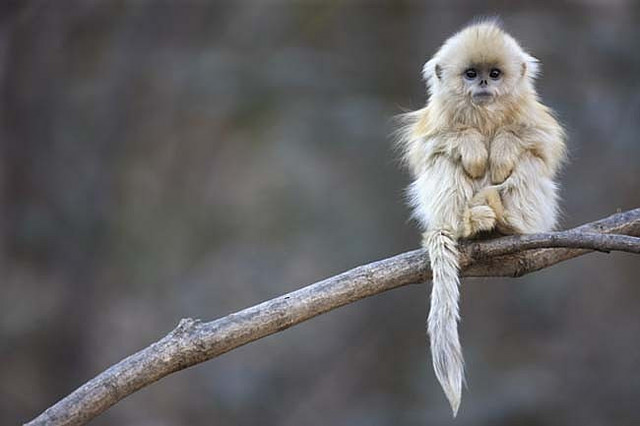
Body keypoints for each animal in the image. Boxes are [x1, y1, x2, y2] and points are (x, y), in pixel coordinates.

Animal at [398, 20, 568, 416]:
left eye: (495, 74)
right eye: (471, 74)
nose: (483, 86)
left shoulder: (533, 115)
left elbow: (542, 143)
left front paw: (502, 148)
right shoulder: (435, 120)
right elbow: (431, 146)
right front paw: (473, 146)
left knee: (529, 161)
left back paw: (507, 222)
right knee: (443, 161)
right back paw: (469, 224)